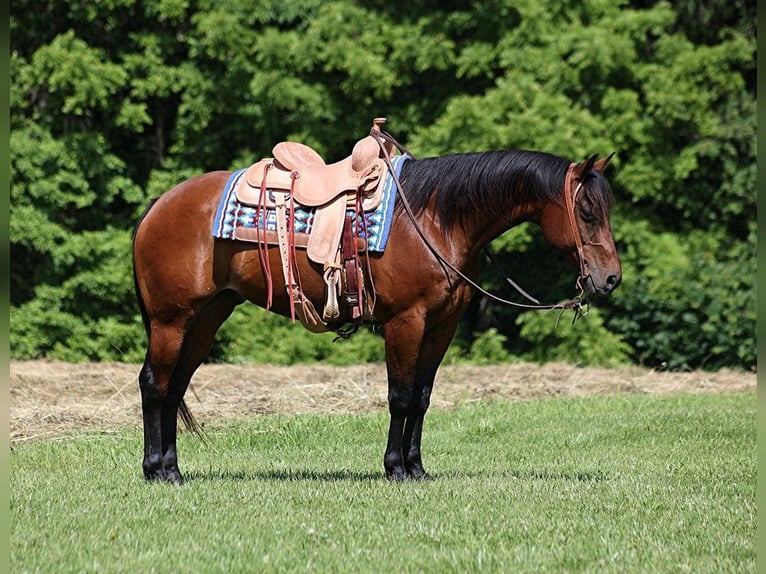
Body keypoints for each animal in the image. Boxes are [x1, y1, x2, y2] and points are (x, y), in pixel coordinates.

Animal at [132, 133, 624, 484]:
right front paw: (395, 468)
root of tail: (158, 206)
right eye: (585, 211)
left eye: (607, 209)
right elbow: (400, 396)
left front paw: (417, 467)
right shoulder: (406, 321)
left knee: (175, 387)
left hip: (206, 318)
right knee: (155, 384)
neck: (435, 220)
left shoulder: (442, 326)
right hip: (170, 320)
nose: (611, 278)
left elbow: (422, 398)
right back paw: (156, 471)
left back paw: (173, 469)